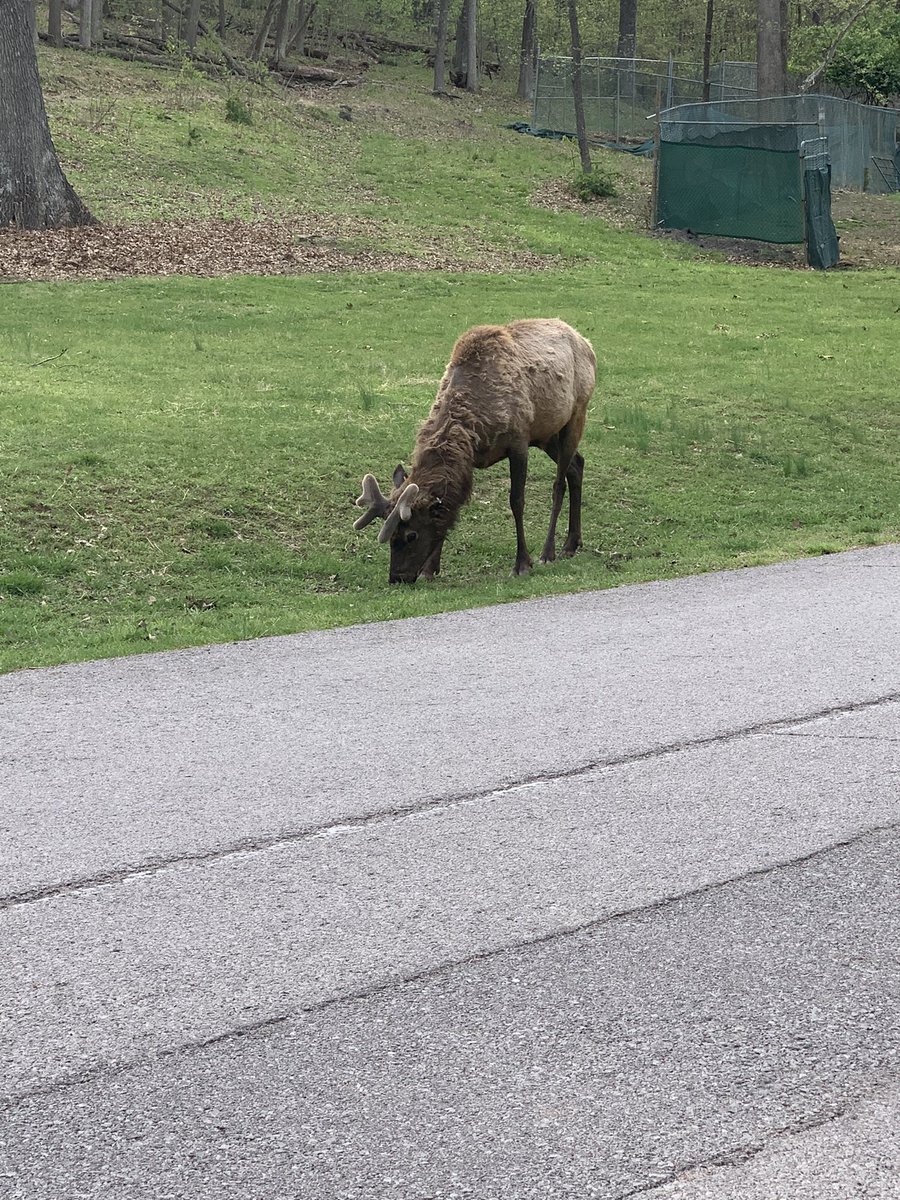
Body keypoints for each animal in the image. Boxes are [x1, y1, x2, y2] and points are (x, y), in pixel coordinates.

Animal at [355, 316, 600, 583]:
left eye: (411, 535)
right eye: (390, 537)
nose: (397, 577)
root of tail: (586, 344)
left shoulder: (519, 441)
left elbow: (517, 501)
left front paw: (522, 563)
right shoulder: (470, 459)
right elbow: (451, 505)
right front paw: (430, 569)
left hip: (576, 414)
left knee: (559, 483)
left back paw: (550, 551)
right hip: (546, 433)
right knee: (577, 465)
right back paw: (572, 543)